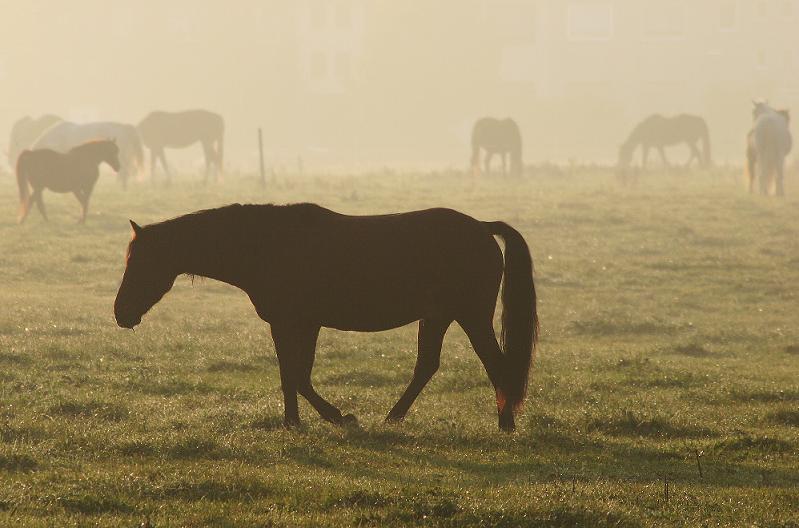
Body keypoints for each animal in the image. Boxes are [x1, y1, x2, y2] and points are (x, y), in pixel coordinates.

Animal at [115, 204, 540, 432]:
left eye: (139, 263)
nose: (120, 313)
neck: (267, 246)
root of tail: (482, 228)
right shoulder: (290, 324)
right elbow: (289, 375)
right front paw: (293, 422)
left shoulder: (298, 323)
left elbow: (298, 375)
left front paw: (338, 417)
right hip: (436, 317)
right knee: (427, 366)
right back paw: (393, 418)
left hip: (471, 317)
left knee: (495, 363)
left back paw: (505, 424)